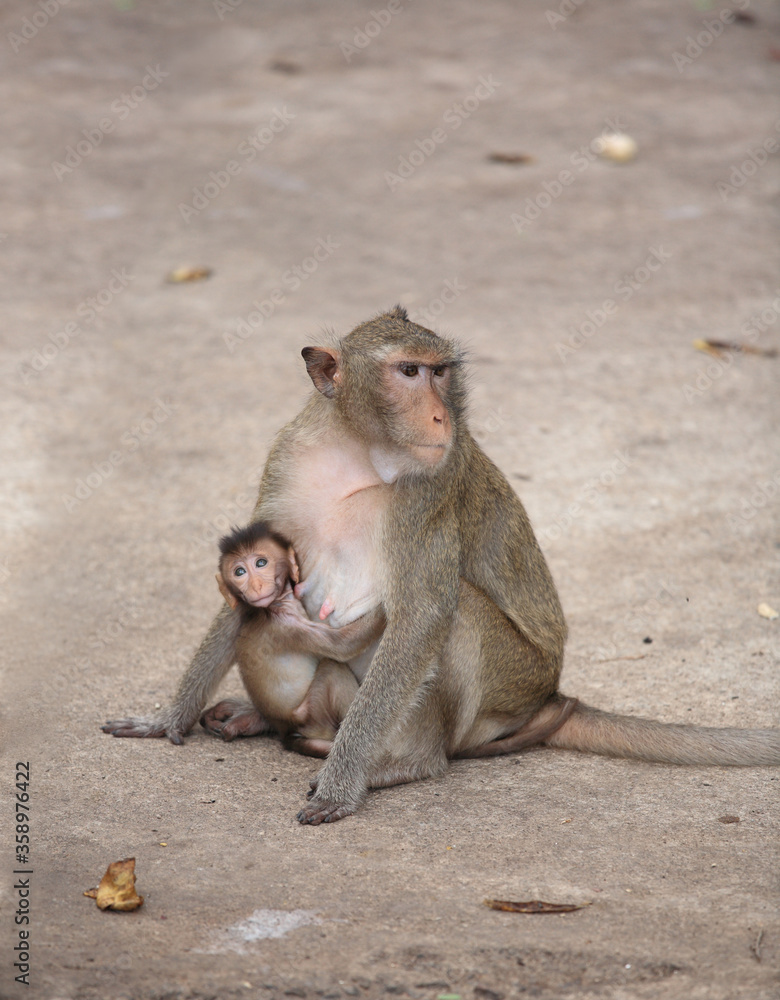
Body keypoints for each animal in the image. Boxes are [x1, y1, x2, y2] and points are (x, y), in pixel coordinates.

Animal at [103, 306, 780, 825]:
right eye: (408, 372)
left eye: (440, 372)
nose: (441, 415)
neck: (357, 450)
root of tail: (548, 693)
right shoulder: (287, 460)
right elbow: (240, 604)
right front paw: (167, 718)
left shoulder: (427, 491)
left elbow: (423, 616)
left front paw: (342, 784)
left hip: (507, 687)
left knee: (457, 617)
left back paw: (406, 762)